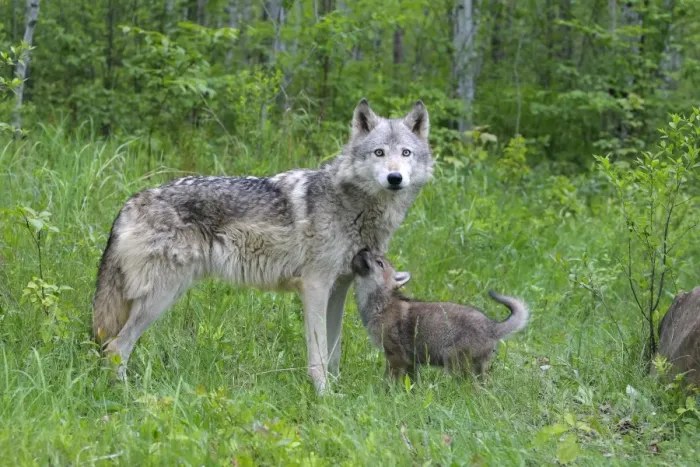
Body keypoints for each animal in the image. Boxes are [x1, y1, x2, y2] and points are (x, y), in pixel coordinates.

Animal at [92, 99, 433, 393]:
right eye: (378, 152)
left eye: (406, 153)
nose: (394, 177)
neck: (354, 206)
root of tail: (132, 200)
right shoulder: (315, 286)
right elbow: (318, 354)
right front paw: (323, 395)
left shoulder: (339, 288)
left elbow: (333, 351)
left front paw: (338, 392)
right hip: (162, 295)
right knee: (116, 346)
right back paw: (125, 396)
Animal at [351, 249, 529, 380]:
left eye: (379, 263)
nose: (363, 249)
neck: (382, 304)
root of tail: (492, 327)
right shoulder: (410, 362)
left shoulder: (395, 357)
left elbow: (387, 382)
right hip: (477, 370)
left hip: (454, 364)